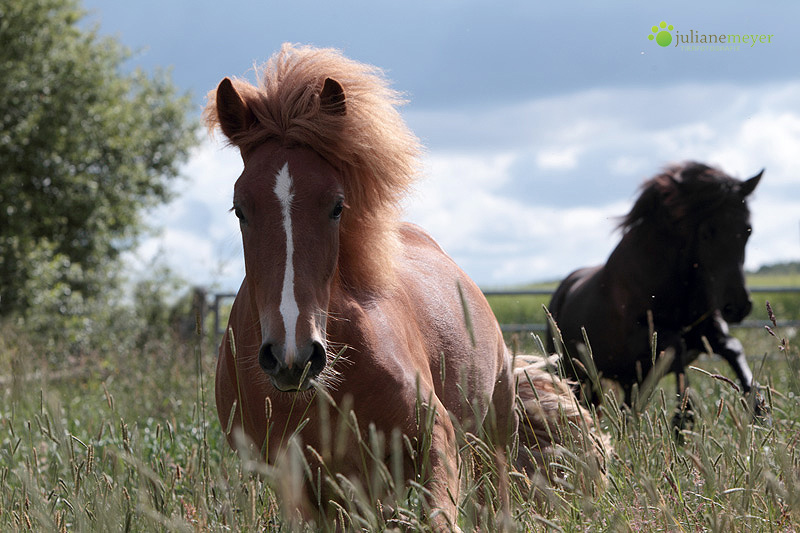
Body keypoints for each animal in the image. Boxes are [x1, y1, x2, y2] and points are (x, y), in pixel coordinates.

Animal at [548, 160, 764, 426]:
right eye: (707, 232)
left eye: (748, 230)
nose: (738, 307)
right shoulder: (640, 339)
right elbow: (675, 349)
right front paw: (683, 418)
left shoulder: (708, 331)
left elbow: (733, 347)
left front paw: (758, 410)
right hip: (574, 372)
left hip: (626, 379)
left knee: (627, 406)